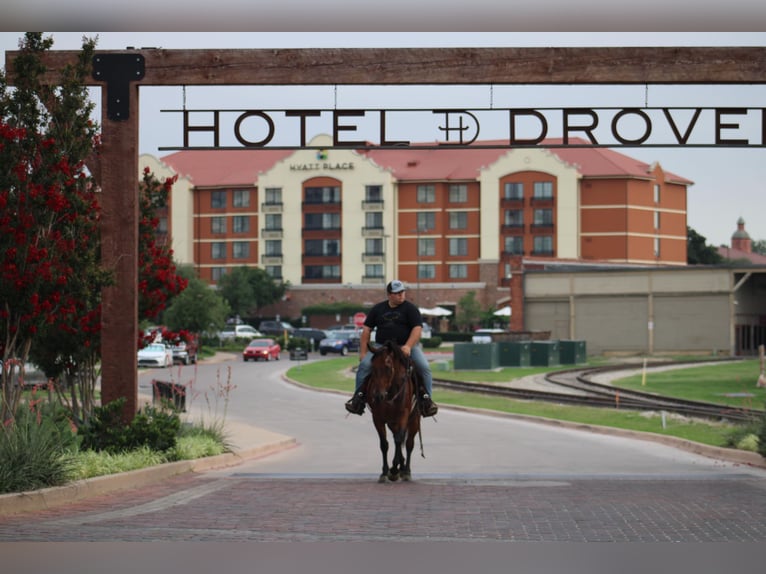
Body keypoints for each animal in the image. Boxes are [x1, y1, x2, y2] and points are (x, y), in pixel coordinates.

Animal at [364, 340, 424, 484]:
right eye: (372, 368)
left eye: (388, 366)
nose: (377, 396)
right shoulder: (378, 418)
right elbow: (384, 444)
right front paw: (385, 471)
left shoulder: (403, 415)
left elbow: (398, 440)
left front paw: (394, 469)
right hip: (392, 423)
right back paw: (401, 467)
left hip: (414, 420)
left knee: (408, 443)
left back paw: (406, 471)